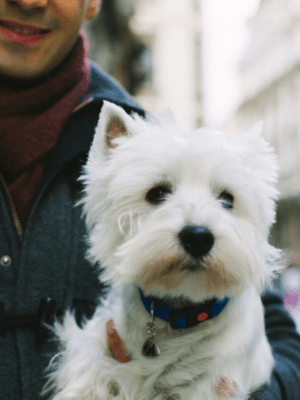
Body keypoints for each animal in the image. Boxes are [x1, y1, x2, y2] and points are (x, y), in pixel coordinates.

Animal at [43, 102, 280, 400]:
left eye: (227, 199)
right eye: (156, 193)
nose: (198, 237)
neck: (177, 314)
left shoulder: (214, 382)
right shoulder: (98, 340)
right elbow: (87, 372)